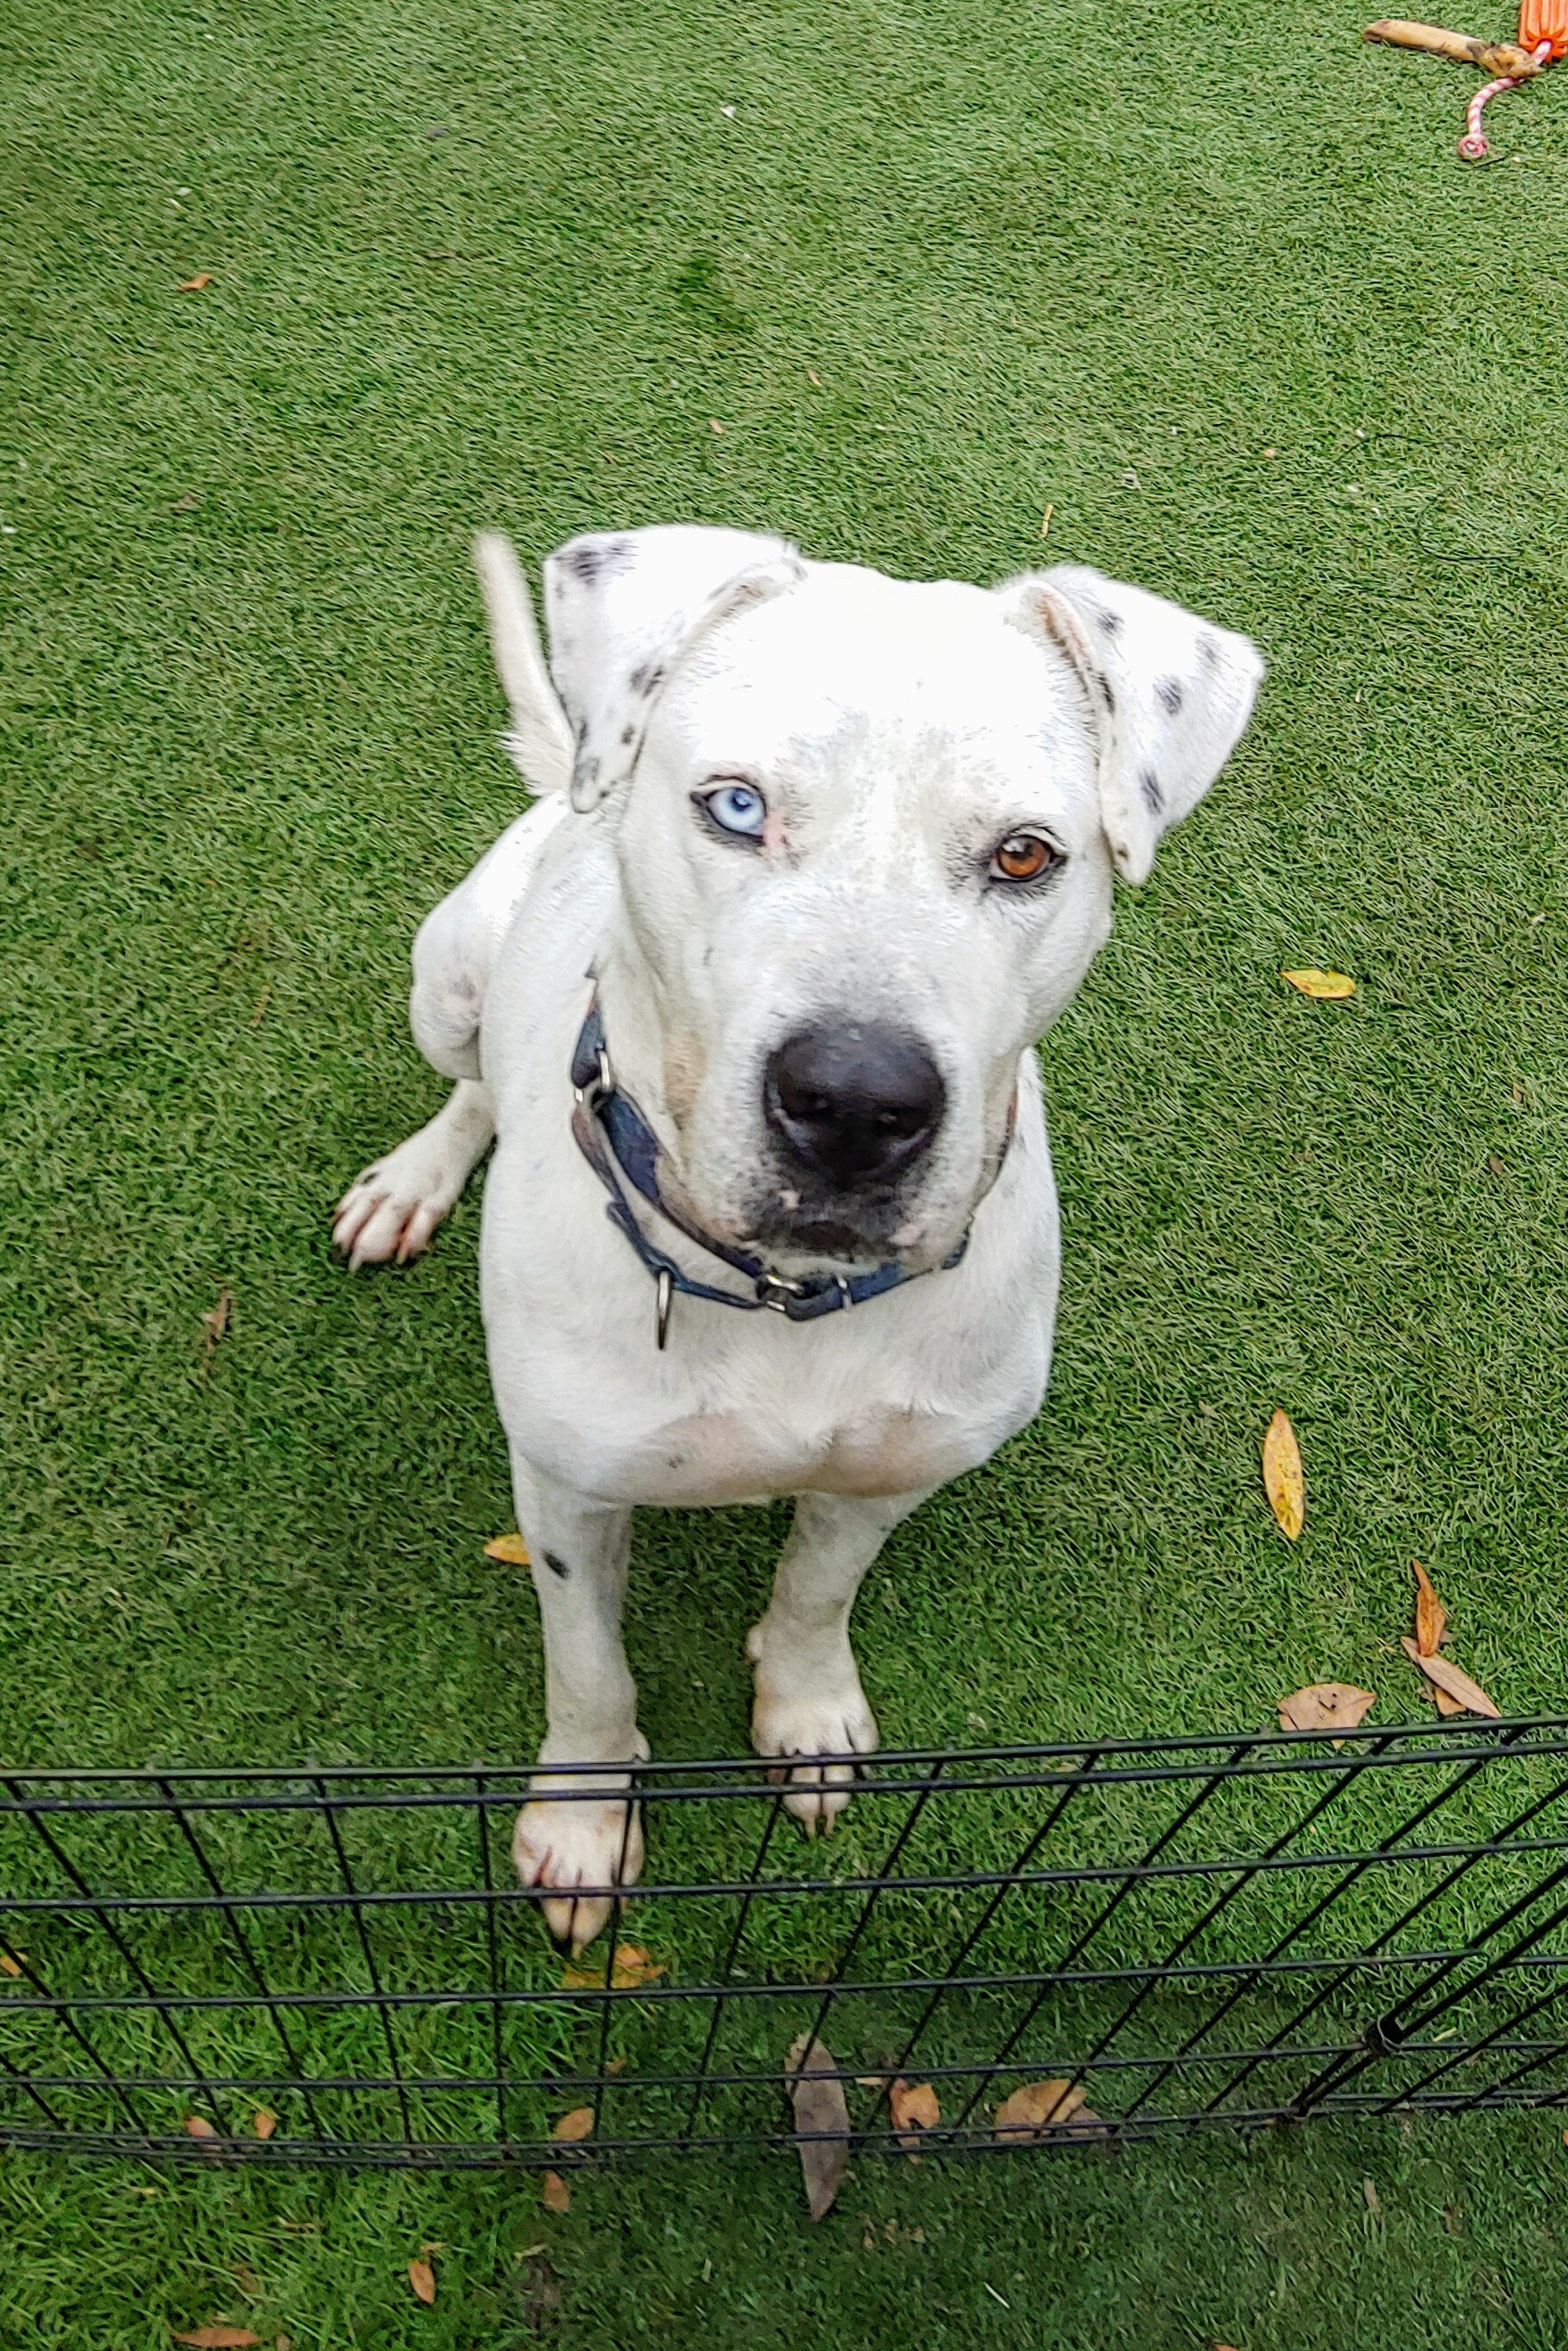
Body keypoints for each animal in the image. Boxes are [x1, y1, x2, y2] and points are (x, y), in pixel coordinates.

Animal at [331, 528, 1260, 1947]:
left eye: (1025, 856)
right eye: (734, 807)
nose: (858, 1103)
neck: (784, 1295)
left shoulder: (892, 1468)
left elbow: (820, 1587)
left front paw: (806, 1710)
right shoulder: (565, 1489)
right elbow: (587, 1665)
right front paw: (582, 1821)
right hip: (446, 974)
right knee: (477, 1076)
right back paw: (416, 1176)